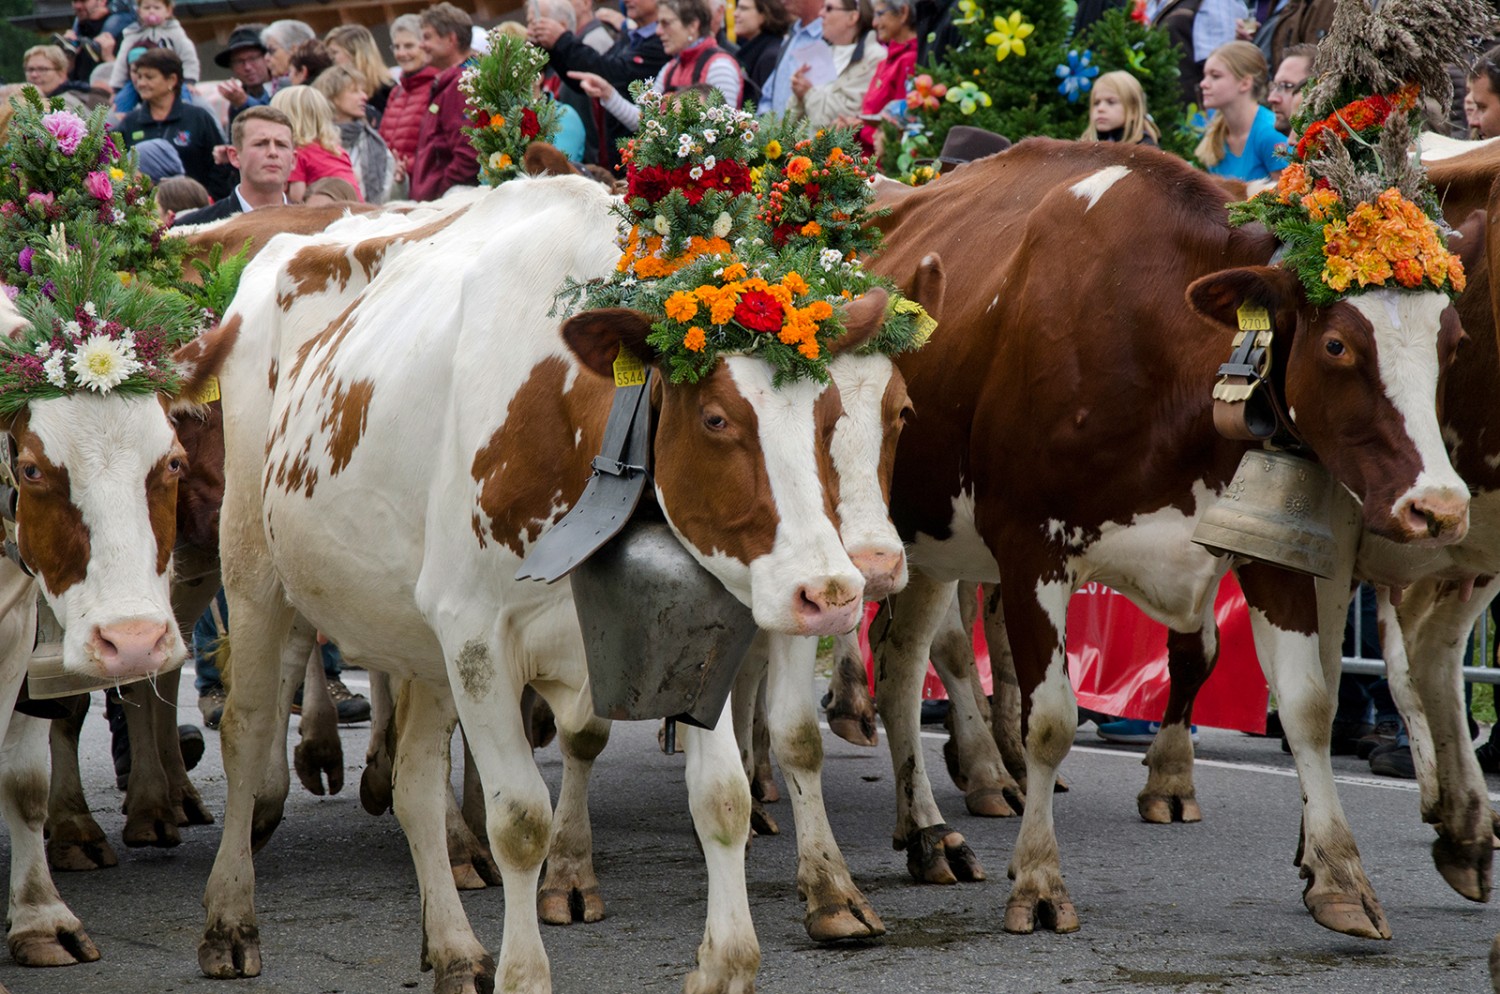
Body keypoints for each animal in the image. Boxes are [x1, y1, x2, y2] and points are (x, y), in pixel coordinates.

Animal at [192, 174, 882, 994]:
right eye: (716, 419)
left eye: (829, 414)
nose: (831, 592)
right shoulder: (478, 635)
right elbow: (520, 821)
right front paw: (525, 975)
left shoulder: (690, 638)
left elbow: (723, 799)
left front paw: (726, 964)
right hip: (254, 568)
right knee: (246, 730)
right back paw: (229, 921)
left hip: (418, 636)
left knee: (415, 782)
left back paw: (455, 950)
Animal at [864, 137, 1470, 941]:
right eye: (1338, 344)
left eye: (1454, 342)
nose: (1439, 508)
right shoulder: (1030, 546)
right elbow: (1050, 721)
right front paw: (1039, 881)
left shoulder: (1266, 544)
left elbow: (1307, 705)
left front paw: (1341, 877)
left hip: (928, 542)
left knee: (902, 662)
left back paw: (926, 836)